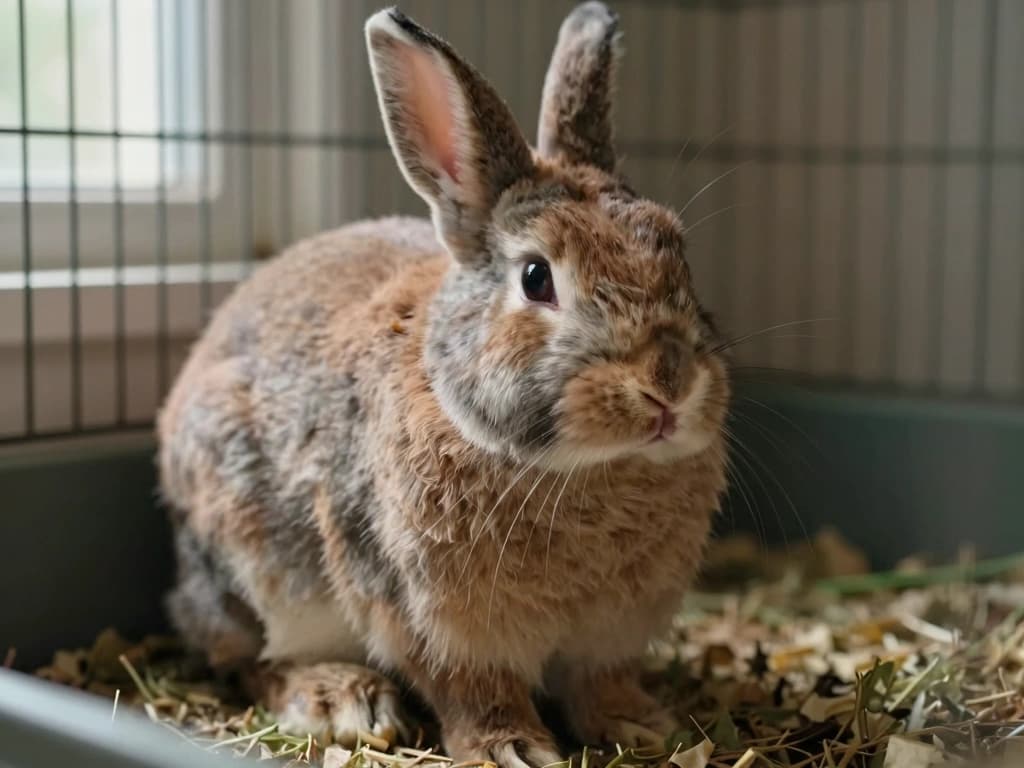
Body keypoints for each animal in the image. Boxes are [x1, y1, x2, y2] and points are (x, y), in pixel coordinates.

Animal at [156, 2, 730, 766]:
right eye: (536, 278)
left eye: (677, 252)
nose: (668, 382)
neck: (584, 469)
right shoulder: (430, 619)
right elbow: (472, 689)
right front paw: (511, 749)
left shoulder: (608, 637)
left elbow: (599, 683)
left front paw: (644, 726)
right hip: (248, 570)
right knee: (249, 661)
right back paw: (340, 698)